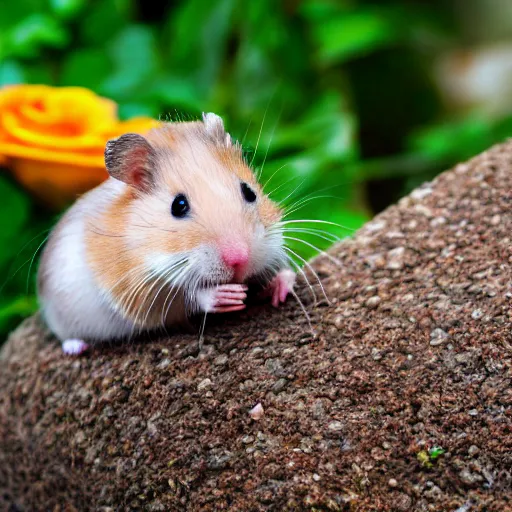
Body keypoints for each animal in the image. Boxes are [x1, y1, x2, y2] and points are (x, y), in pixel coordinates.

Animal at [38, 112, 296, 354]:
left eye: (249, 192)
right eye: (178, 206)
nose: (239, 259)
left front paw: (282, 286)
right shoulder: (137, 290)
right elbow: (185, 299)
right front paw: (226, 296)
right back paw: (76, 348)